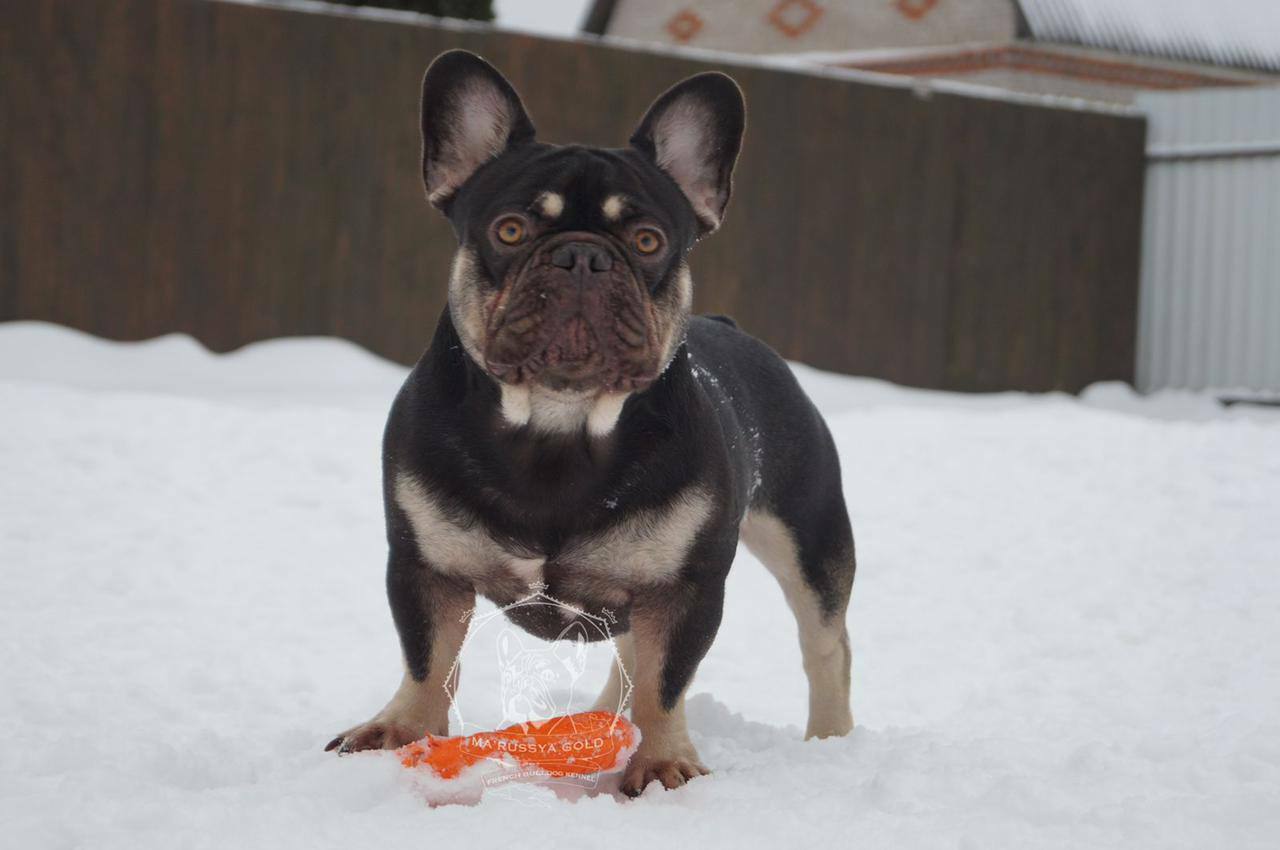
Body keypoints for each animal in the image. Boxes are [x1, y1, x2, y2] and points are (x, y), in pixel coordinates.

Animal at [325, 51, 855, 798]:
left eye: (647, 240)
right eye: (510, 229)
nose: (583, 255)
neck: (556, 424)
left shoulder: (684, 587)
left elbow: (668, 679)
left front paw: (662, 763)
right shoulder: (425, 567)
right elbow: (428, 657)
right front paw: (402, 732)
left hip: (807, 540)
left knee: (825, 645)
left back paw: (832, 744)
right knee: (630, 654)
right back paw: (605, 720)